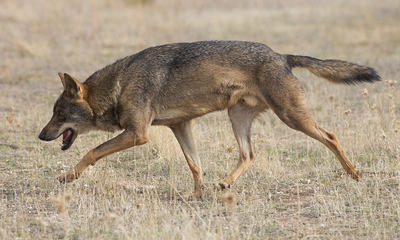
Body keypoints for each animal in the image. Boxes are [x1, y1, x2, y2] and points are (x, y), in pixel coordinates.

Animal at [39, 41, 380, 199]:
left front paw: (68, 176)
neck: (119, 85)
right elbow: (195, 165)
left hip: (292, 117)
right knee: (249, 154)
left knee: (331, 136)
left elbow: (91, 152)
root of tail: (282, 56)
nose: (40, 136)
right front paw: (195, 195)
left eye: (60, 115)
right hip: (238, 117)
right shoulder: (180, 125)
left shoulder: (137, 134)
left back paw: (354, 173)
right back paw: (226, 182)